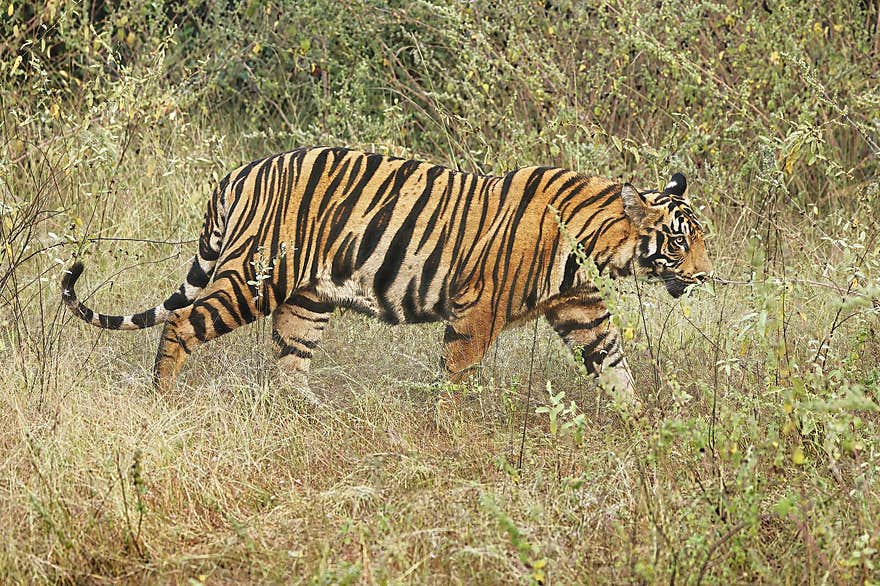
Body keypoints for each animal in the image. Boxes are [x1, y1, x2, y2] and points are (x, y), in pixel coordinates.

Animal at [61, 146, 712, 403]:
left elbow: (615, 366)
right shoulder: (476, 311)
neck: (594, 245)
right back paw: (162, 397)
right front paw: (447, 429)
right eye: (681, 240)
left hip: (307, 300)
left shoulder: (580, 309)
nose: (707, 276)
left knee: (290, 363)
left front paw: (640, 426)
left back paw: (307, 413)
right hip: (252, 279)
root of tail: (237, 174)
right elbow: (456, 374)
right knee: (181, 325)